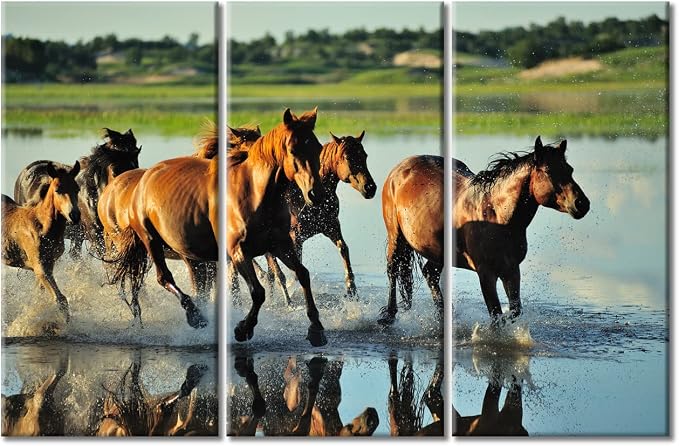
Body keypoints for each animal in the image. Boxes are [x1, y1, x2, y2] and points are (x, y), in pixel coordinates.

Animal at [2, 161, 81, 323]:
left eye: (77, 189)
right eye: (58, 190)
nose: (74, 215)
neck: (42, 226)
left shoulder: (48, 266)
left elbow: (38, 295)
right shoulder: (41, 268)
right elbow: (60, 299)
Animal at [227, 107, 327, 346]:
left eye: (318, 148)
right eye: (292, 149)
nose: (315, 194)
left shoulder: (280, 245)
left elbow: (302, 273)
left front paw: (316, 328)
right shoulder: (240, 251)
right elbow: (258, 291)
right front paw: (243, 328)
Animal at [262, 130, 377, 303]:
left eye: (364, 155)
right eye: (347, 157)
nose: (370, 188)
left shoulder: (332, 226)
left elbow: (343, 248)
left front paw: (351, 289)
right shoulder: (295, 237)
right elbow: (296, 270)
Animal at [454, 136, 590, 322]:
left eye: (570, 170)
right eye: (548, 171)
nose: (582, 204)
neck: (497, 218)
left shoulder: (511, 270)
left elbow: (515, 310)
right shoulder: (486, 274)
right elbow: (496, 316)